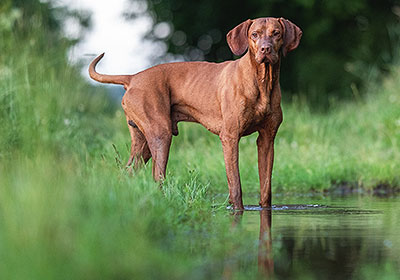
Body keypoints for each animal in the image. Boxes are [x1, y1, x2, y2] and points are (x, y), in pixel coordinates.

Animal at [89, 17, 302, 209]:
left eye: (276, 33)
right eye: (254, 35)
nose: (265, 49)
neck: (263, 81)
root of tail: (132, 78)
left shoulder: (267, 139)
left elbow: (266, 188)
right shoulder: (230, 137)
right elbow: (235, 186)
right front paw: (237, 210)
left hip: (143, 144)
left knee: (127, 173)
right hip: (160, 134)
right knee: (157, 176)